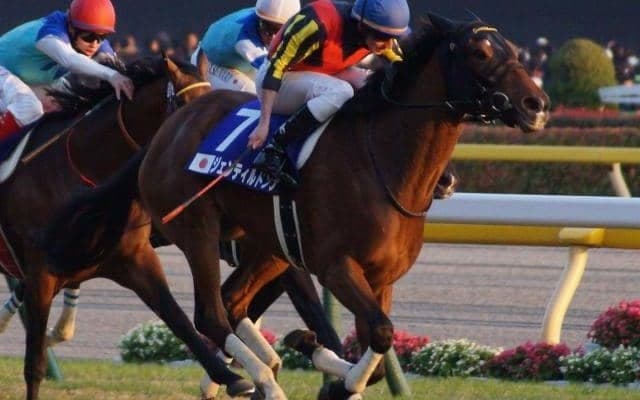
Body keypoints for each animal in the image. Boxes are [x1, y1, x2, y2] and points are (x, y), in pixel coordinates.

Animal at [44, 14, 550, 399]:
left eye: (511, 49)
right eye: (479, 52)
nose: (537, 104)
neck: (381, 161)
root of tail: (169, 131)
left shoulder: (380, 276)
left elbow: (375, 340)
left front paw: (324, 362)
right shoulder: (335, 266)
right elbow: (378, 333)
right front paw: (331, 374)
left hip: (266, 247)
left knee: (232, 302)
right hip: (198, 230)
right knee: (211, 312)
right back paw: (255, 380)